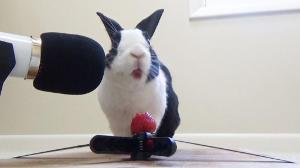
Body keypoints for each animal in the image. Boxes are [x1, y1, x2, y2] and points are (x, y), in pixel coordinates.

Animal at [97, 9, 179, 137]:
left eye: (148, 42)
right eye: (115, 44)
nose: (137, 53)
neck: (132, 87)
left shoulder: (155, 113)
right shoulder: (117, 124)